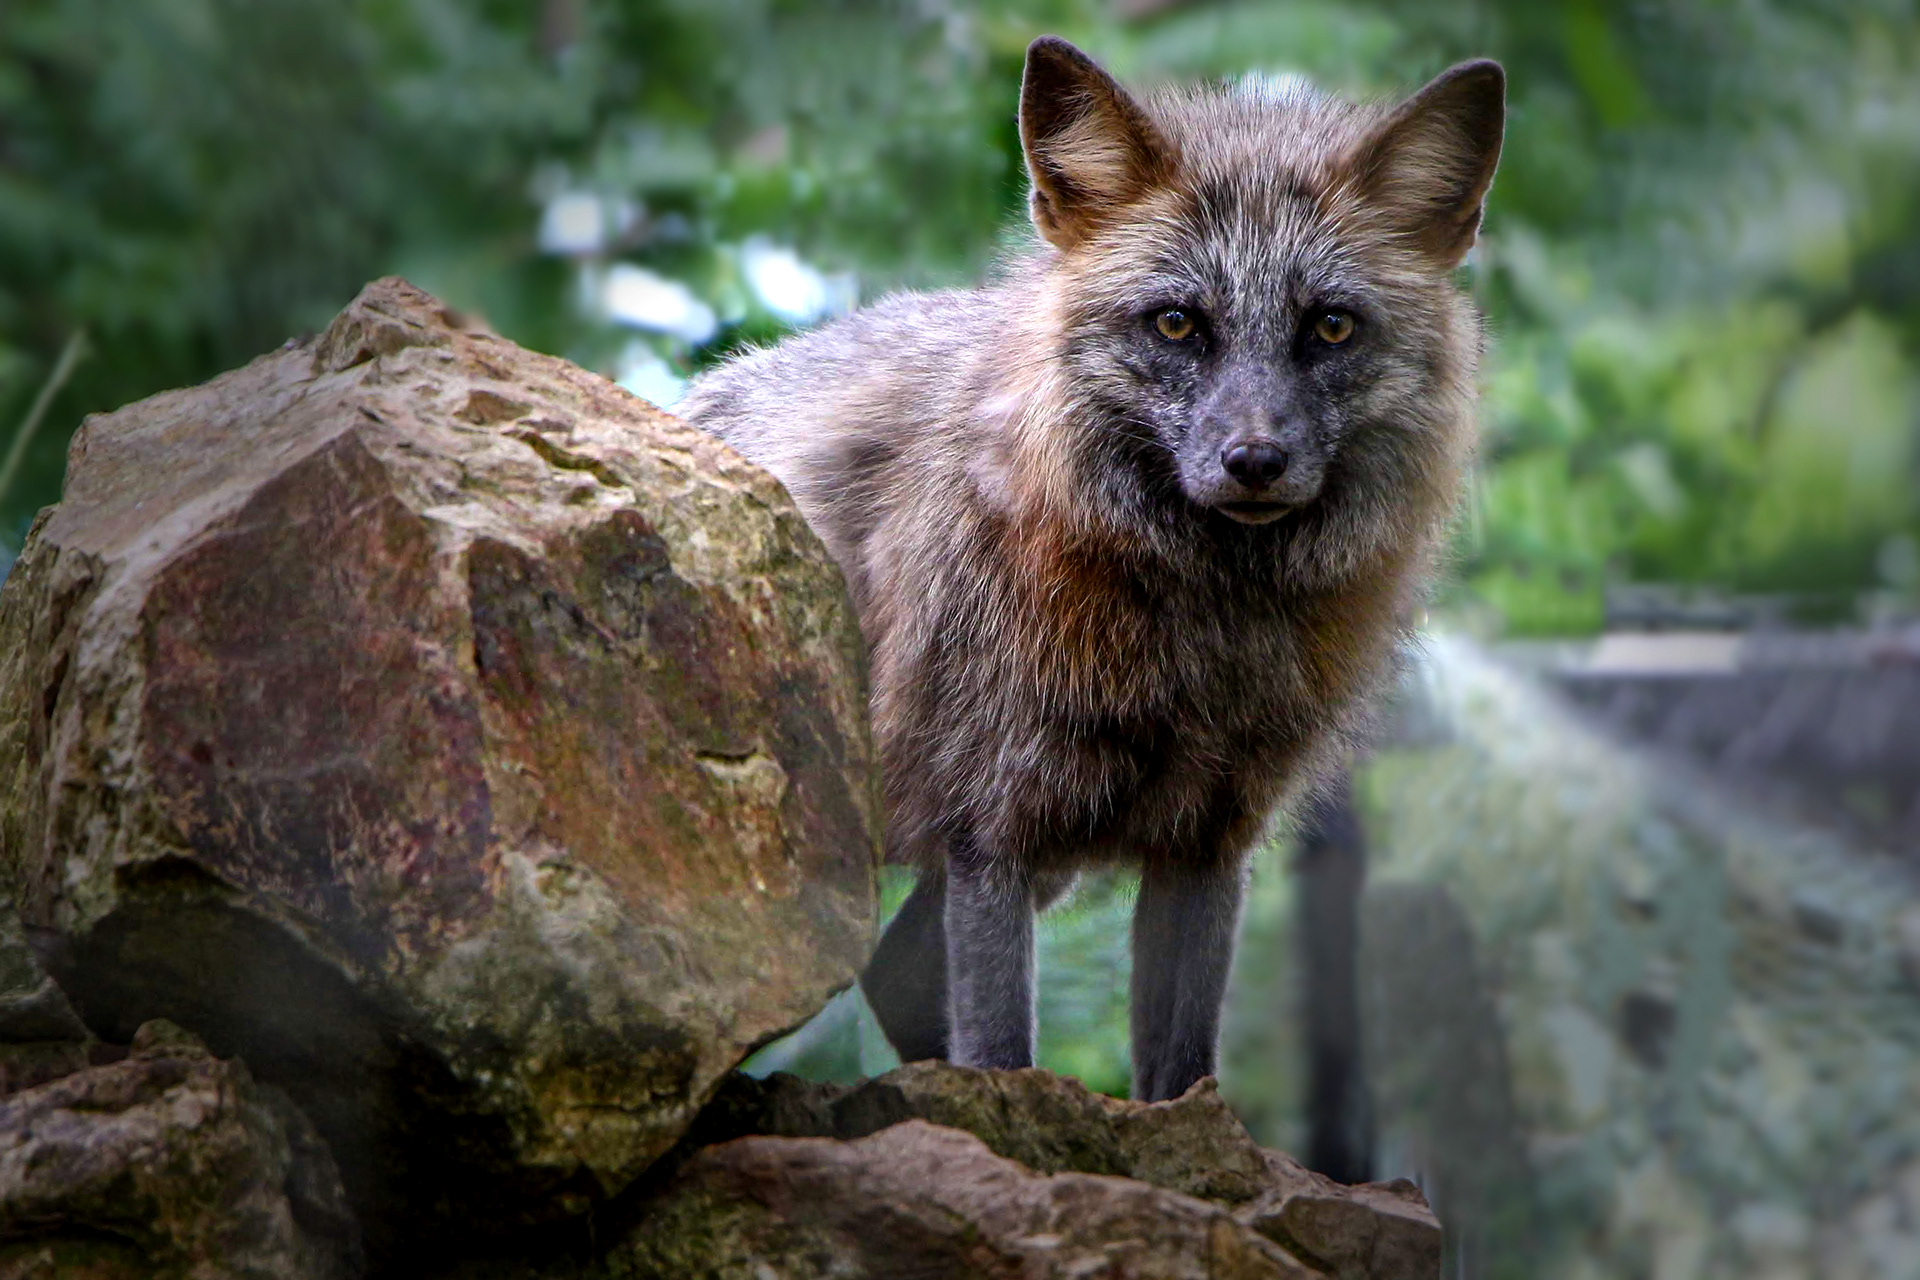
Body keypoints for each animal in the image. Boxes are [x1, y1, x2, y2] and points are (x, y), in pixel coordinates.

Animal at [681, 37, 1504, 1103]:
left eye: (1330, 327)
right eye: (1176, 324)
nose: (1254, 460)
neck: (1195, 633)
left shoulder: (1209, 839)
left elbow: (1182, 1074)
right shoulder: (992, 825)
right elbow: (998, 1052)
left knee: (892, 975)